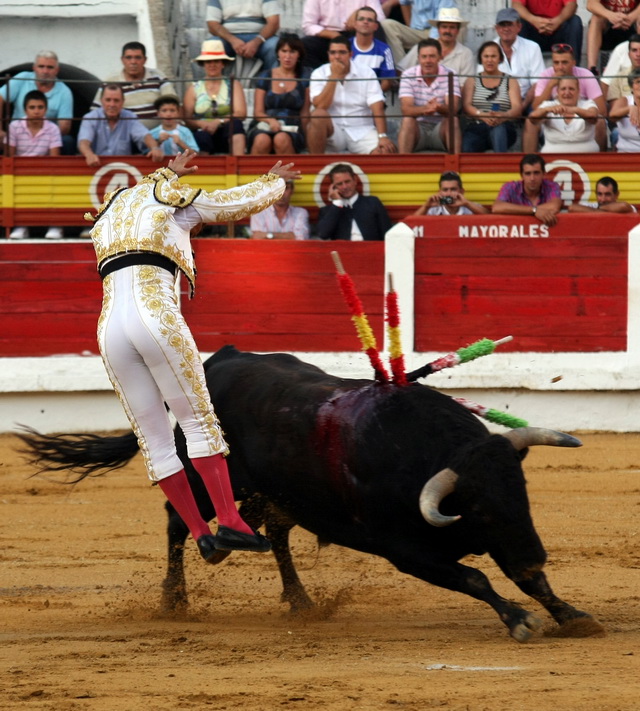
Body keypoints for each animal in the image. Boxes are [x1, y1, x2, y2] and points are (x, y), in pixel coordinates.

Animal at [18, 346, 600, 644]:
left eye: (522, 490)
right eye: (477, 506)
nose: (535, 555)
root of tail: (214, 362)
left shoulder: (503, 537)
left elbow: (522, 579)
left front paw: (571, 614)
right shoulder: (406, 551)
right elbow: (475, 578)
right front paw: (520, 620)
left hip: (276, 495)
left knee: (272, 534)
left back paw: (298, 599)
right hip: (214, 484)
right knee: (179, 522)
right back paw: (175, 598)